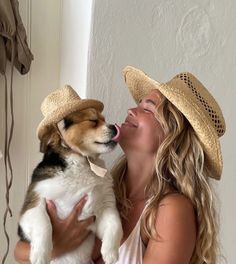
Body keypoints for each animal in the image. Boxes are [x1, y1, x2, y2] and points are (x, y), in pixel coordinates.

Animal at [17, 85, 122, 262]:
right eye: (93, 120)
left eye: (104, 119)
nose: (115, 127)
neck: (82, 162)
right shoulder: (32, 205)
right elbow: (43, 224)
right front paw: (40, 256)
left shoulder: (102, 211)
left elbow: (115, 224)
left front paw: (110, 253)